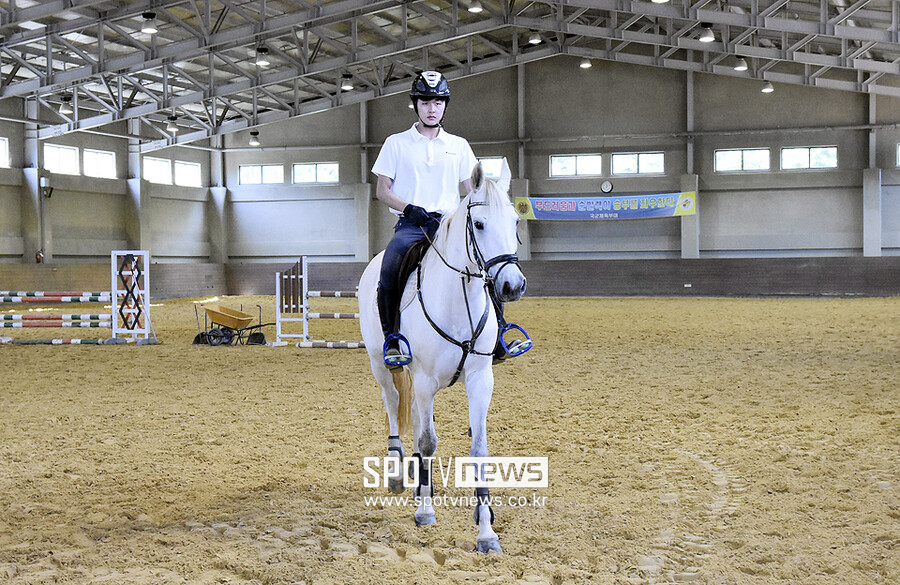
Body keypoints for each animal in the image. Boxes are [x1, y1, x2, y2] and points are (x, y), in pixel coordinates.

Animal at [358, 159, 528, 552]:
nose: (512, 285)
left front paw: (486, 530)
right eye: (478, 224)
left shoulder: (481, 379)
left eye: (515, 221)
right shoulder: (423, 380)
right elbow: (428, 442)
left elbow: (478, 449)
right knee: (394, 404)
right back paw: (398, 471)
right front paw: (424, 512)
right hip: (381, 364)